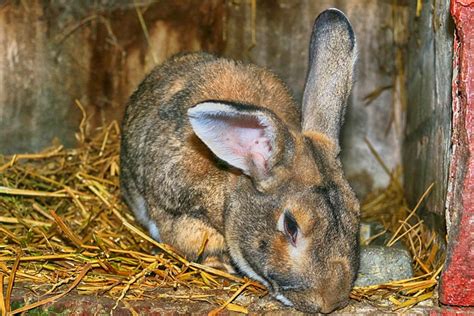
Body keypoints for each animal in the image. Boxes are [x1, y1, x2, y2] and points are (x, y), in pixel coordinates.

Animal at [120, 8, 362, 314]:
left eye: (356, 211)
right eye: (291, 226)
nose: (331, 301)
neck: (233, 178)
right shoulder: (179, 213)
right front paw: (219, 265)